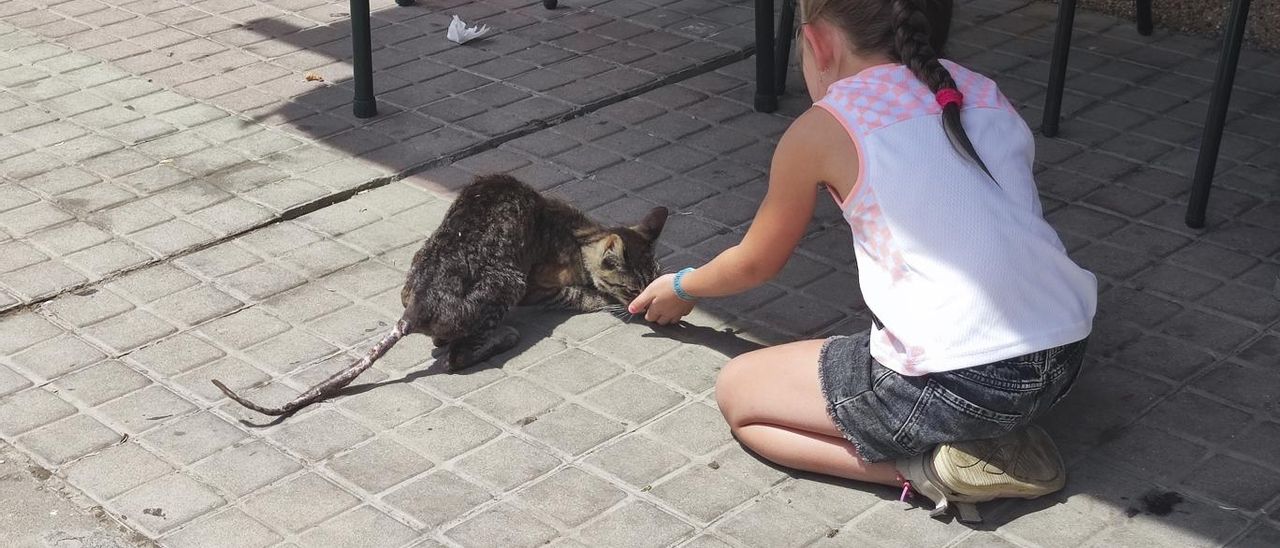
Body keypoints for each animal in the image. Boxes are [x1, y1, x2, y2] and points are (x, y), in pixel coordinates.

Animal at [212, 172, 670, 417]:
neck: (578, 231)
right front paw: (604, 300)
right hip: (508, 282)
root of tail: (416, 307)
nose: (639, 306)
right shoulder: (539, 287)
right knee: (455, 357)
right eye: (632, 288)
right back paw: (501, 337)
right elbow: (580, 294)